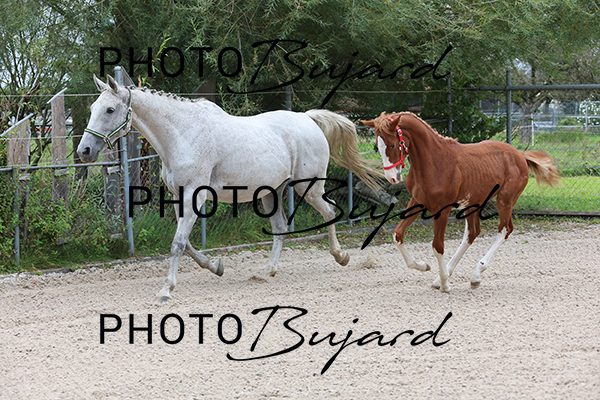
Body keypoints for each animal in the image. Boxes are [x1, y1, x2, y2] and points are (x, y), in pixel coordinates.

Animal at [78, 75, 382, 302]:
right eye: (92, 108)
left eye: (109, 109)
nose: (84, 151)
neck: (182, 135)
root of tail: (308, 119)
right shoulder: (179, 197)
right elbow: (186, 244)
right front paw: (216, 267)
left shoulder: (193, 195)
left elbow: (178, 243)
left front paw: (165, 290)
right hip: (272, 192)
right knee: (281, 227)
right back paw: (267, 271)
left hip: (309, 186)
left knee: (329, 211)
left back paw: (341, 256)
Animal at [361, 111, 560, 292]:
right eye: (377, 146)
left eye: (392, 144)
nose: (392, 178)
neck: (433, 162)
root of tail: (519, 154)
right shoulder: (418, 202)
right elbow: (397, 235)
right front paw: (424, 267)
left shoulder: (442, 210)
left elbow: (438, 246)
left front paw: (445, 284)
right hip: (474, 203)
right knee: (472, 233)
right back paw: (452, 276)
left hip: (505, 200)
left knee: (505, 229)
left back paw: (476, 274)